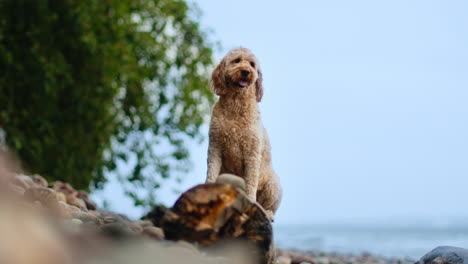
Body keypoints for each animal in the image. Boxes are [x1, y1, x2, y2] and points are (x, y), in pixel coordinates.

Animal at [206, 48, 282, 221]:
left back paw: (267, 212)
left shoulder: (252, 153)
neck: (236, 104)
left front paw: (250, 202)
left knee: (267, 206)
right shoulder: (215, 147)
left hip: (273, 186)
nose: (246, 71)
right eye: (237, 60)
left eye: (252, 64)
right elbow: (211, 173)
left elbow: (251, 183)